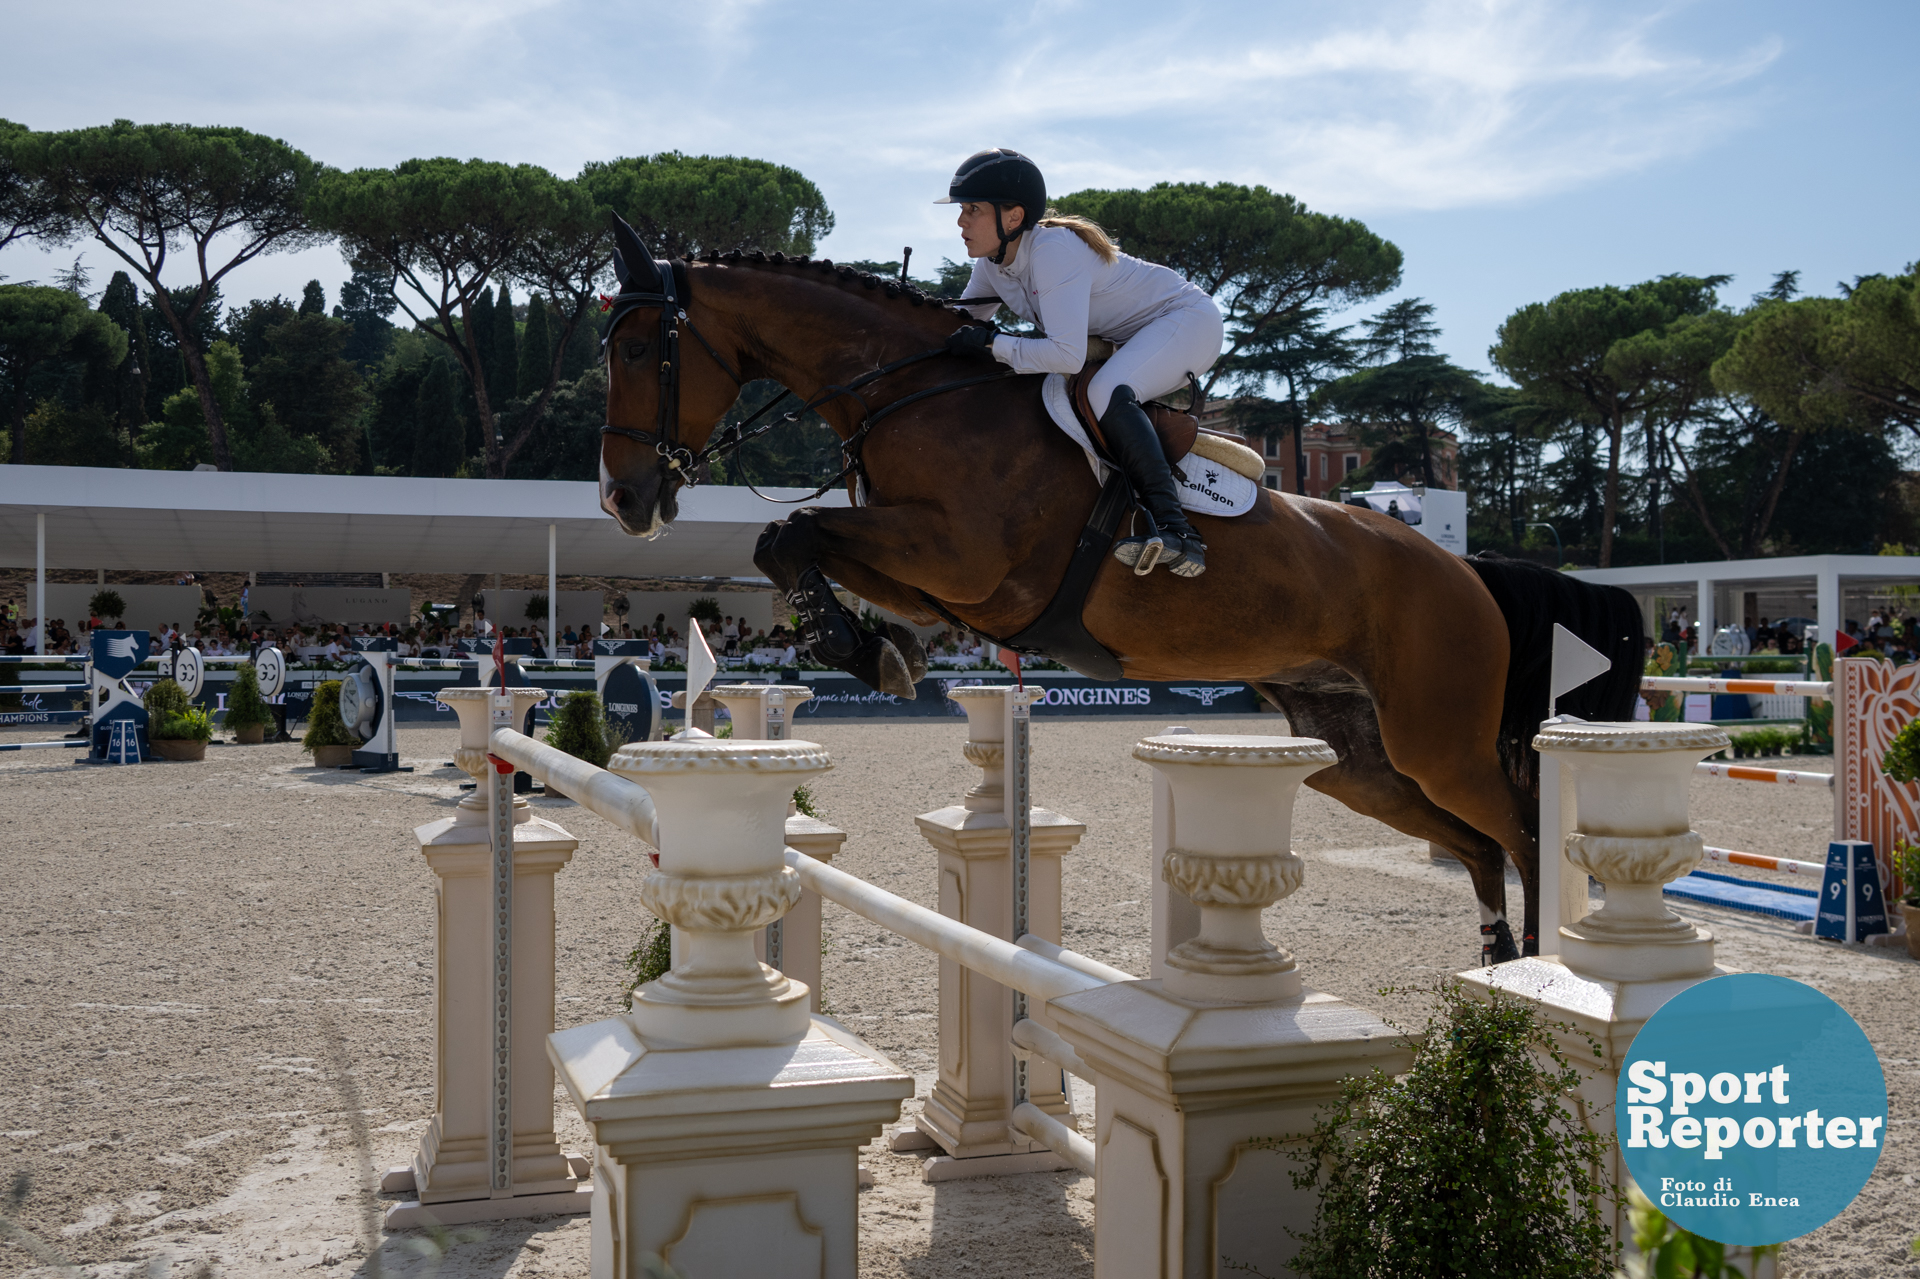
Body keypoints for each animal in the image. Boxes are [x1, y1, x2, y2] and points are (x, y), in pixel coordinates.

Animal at [595, 221, 1635, 956]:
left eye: (642, 351)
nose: (624, 500)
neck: (913, 390)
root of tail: (1465, 568)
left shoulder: (963, 558)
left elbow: (789, 530)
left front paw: (866, 652)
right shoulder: (940, 581)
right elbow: (793, 541)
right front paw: (872, 650)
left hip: (1437, 739)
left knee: (1522, 831)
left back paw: (1543, 976)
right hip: (1359, 758)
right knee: (1478, 845)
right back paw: (1498, 963)